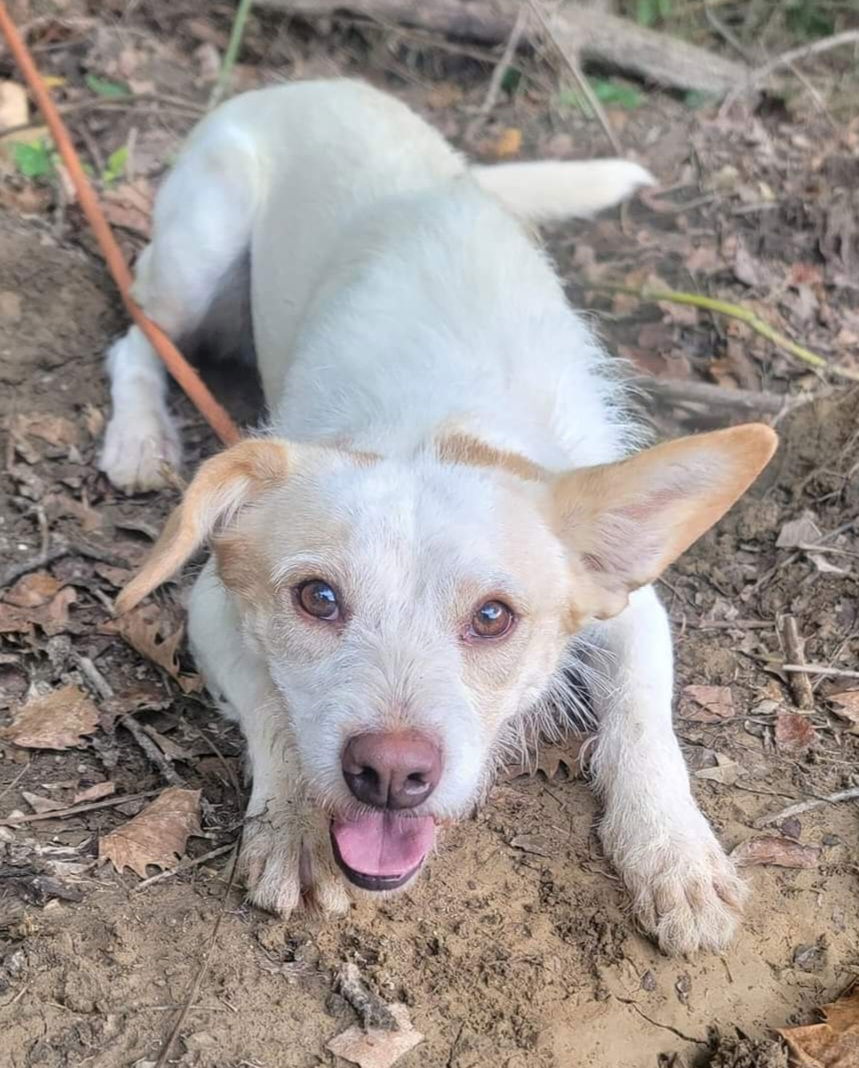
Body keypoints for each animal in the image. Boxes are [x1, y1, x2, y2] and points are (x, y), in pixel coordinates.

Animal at [107, 79, 777, 956]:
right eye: (317, 598)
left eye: (493, 617)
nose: (390, 773)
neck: (434, 422)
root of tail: (315, 80)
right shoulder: (212, 604)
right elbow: (274, 710)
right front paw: (292, 822)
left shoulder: (631, 607)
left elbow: (644, 718)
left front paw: (673, 849)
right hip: (197, 253)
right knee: (135, 338)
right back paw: (136, 433)